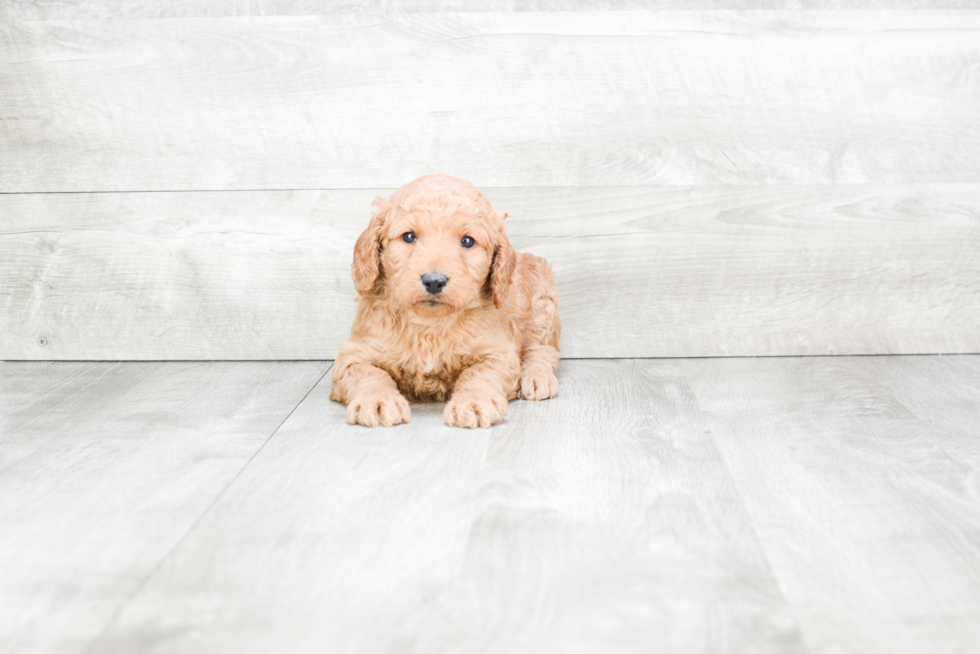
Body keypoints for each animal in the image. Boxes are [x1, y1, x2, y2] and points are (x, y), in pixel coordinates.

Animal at [330, 174, 560, 430]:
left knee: (541, 349)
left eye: (468, 241)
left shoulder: (498, 353)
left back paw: (537, 378)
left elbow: (480, 375)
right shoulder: (354, 354)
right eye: (409, 236)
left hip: (543, 303)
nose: (434, 281)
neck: (429, 325)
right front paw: (377, 400)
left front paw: (473, 402)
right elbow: (370, 374)